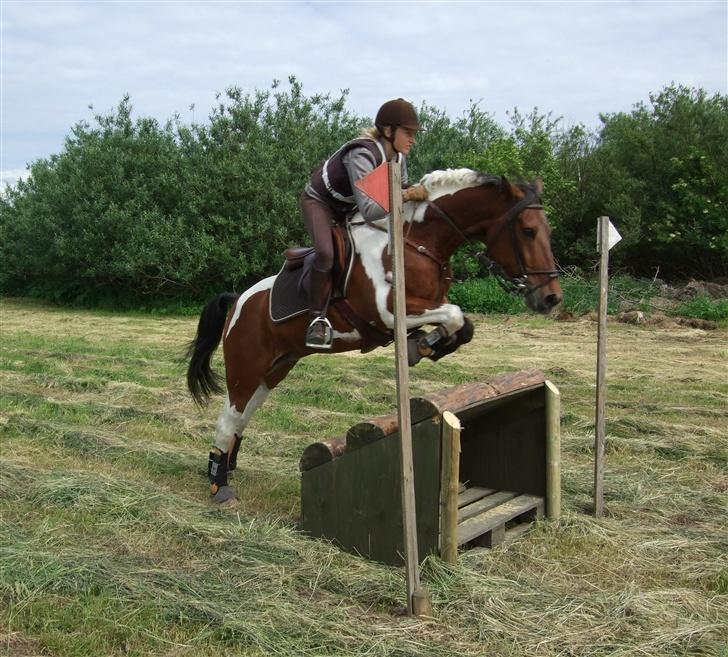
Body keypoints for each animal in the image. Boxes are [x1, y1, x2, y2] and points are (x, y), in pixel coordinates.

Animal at [188, 169, 564, 502]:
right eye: (528, 231)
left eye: (547, 230)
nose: (551, 298)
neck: (418, 243)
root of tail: (238, 300)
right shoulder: (389, 311)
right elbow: (455, 314)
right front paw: (424, 345)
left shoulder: (423, 307)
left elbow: (461, 323)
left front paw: (426, 345)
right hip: (246, 366)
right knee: (229, 416)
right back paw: (220, 487)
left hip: (275, 368)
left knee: (244, 414)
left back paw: (226, 467)